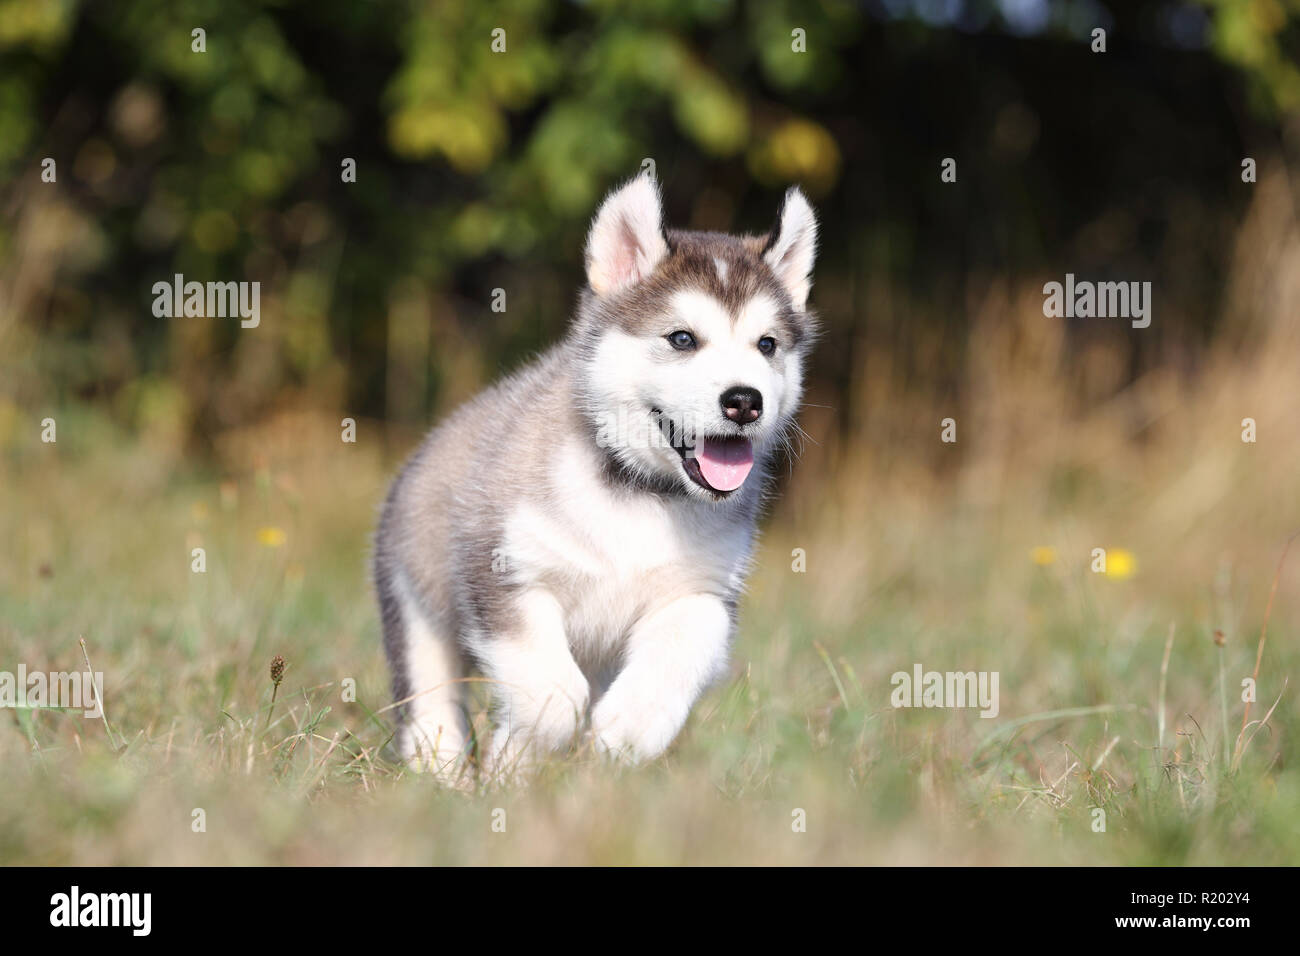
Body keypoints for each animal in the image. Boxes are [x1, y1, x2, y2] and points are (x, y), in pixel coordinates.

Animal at [377, 174, 816, 780]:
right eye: (682, 339)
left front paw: (625, 732)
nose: (745, 401)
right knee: (429, 692)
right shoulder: (504, 571)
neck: (639, 495)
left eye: (767, 345)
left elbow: (676, 658)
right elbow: (553, 692)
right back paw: (441, 773)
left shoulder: (702, 594)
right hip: (415, 594)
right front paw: (520, 755)